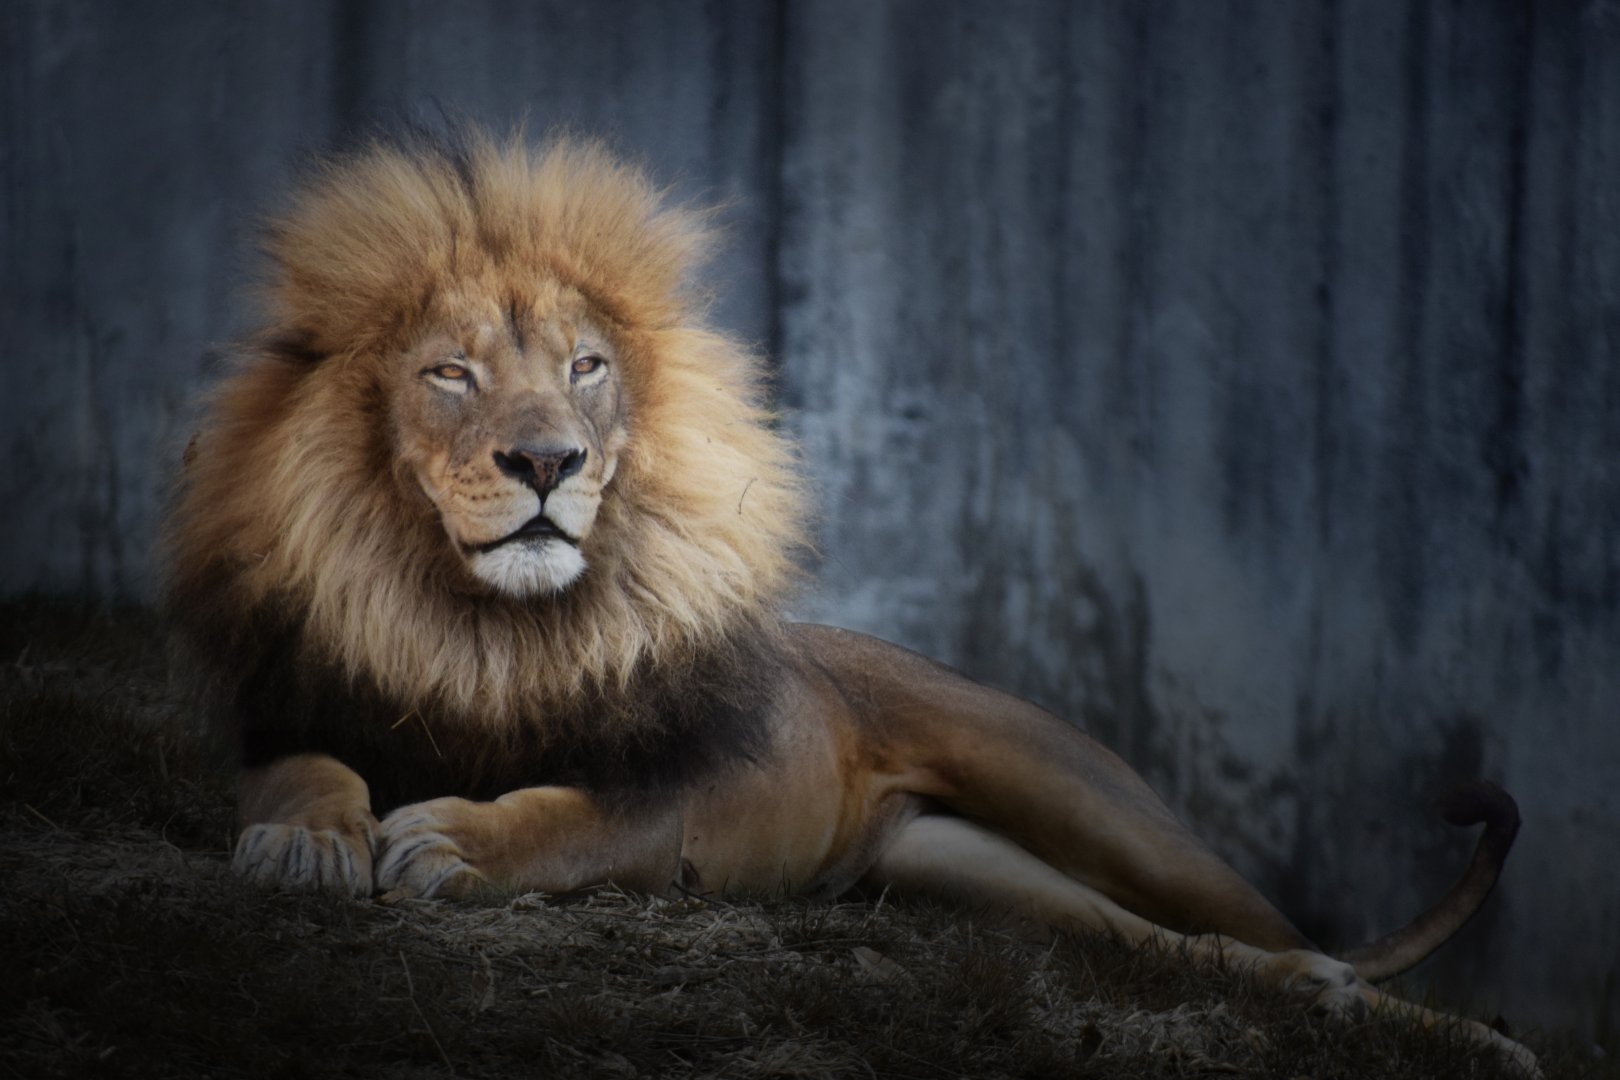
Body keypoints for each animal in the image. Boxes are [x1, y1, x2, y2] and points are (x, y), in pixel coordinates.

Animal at [164, 126, 1535, 1073]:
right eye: (449, 373)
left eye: (586, 366)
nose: (547, 461)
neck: (482, 627)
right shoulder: (289, 707)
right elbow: (305, 773)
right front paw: (305, 843)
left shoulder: (677, 792)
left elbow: (569, 820)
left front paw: (453, 839)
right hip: (977, 880)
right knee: (1180, 951)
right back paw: (1320, 1001)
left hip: (1097, 804)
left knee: (1274, 930)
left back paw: (1468, 1037)